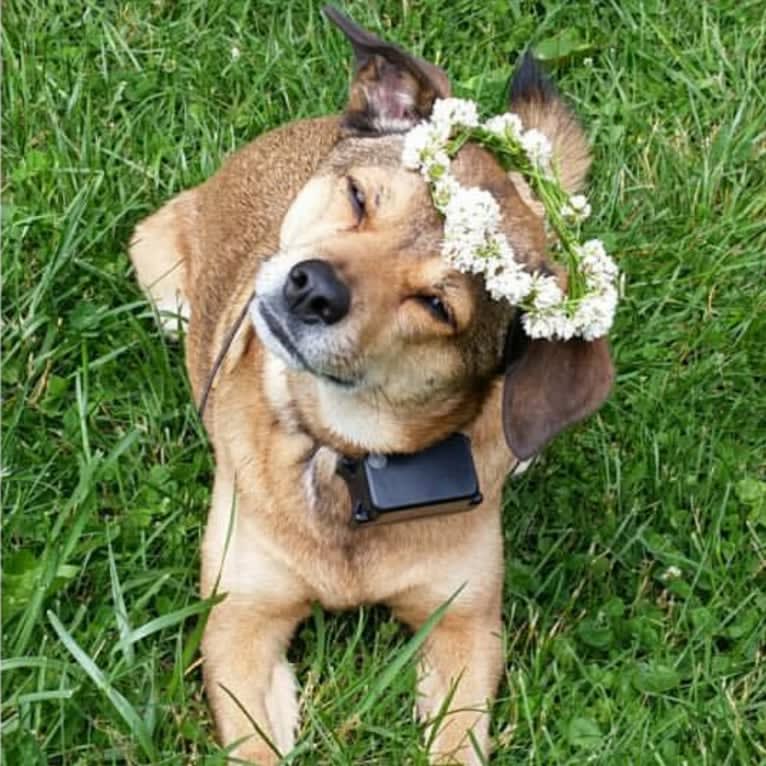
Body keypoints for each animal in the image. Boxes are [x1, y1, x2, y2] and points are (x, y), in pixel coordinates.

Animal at [129, 9, 616, 764]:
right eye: (359, 197)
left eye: (438, 305)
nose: (312, 289)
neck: (348, 459)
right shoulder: (240, 621)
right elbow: (255, 744)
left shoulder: (466, 625)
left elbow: (459, 741)